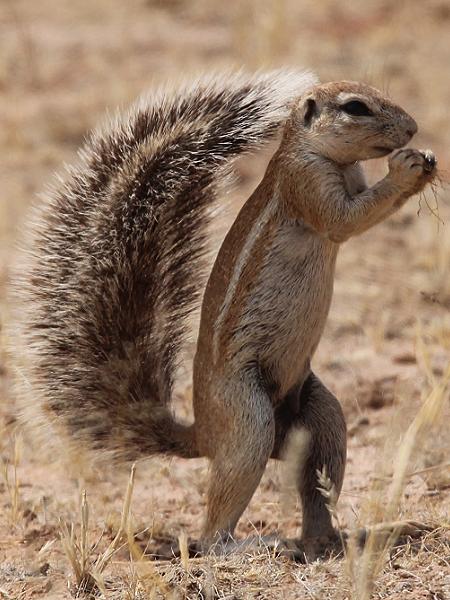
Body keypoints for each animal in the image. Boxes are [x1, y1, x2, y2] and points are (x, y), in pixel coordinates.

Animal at [11, 72, 436, 560]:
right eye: (356, 107)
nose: (412, 128)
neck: (320, 154)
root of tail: (203, 435)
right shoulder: (306, 184)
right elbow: (346, 220)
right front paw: (407, 168)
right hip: (248, 419)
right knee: (212, 532)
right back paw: (252, 544)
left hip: (323, 415)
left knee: (317, 483)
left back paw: (334, 538)